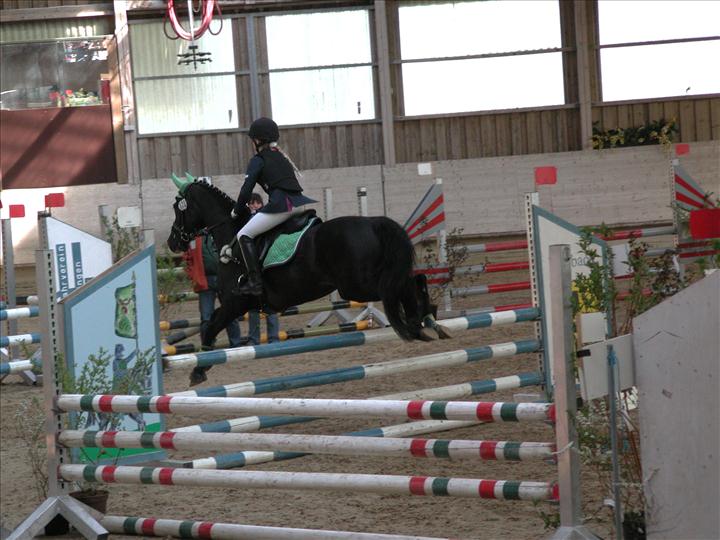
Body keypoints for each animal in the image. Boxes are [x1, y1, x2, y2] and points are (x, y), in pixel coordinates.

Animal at [166, 177, 449, 385]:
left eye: (178, 208)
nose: (173, 241)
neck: (231, 236)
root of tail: (372, 223)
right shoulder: (238, 306)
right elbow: (210, 326)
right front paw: (201, 368)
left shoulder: (236, 303)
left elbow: (209, 327)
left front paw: (198, 371)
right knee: (414, 279)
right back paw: (427, 316)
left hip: (356, 285)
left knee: (399, 286)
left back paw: (419, 319)